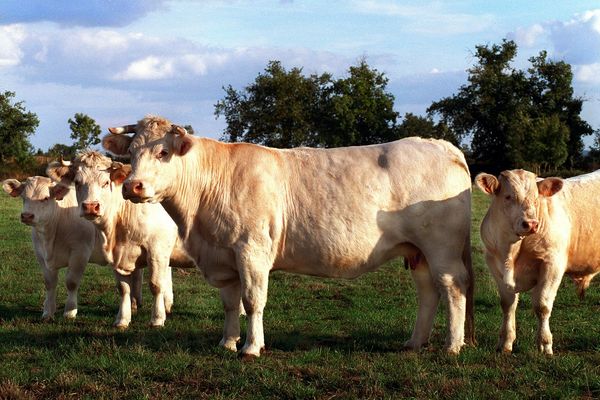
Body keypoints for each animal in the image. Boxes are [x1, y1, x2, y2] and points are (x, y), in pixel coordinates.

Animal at [2, 177, 110, 320]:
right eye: (23, 197)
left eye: (45, 198)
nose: (26, 216)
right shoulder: (40, 254)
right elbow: (49, 283)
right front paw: (48, 312)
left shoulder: (80, 252)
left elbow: (71, 282)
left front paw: (70, 312)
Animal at [49, 150, 195, 328]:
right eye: (77, 182)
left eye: (106, 182)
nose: (90, 206)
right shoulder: (117, 255)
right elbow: (123, 288)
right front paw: (122, 319)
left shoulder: (157, 250)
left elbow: (155, 285)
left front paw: (157, 319)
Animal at [103, 114, 476, 358]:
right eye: (131, 153)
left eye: (163, 152)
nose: (132, 186)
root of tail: (440, 145)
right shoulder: (223, 256)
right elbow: (230, 303)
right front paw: (227, 342)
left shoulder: (252, 250)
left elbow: (252, 301)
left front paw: (251, 347)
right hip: (417, 251)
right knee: (428, 292)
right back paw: (414, 343)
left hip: (441, 247)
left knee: (452, 287)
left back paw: (452, 345)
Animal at [476, 168, 596, 354]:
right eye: (508, 196)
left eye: (536, 198)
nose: (531, 224)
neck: (510, 254)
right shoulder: (493, 264)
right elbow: (507, 305)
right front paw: (505, 342)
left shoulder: (552, 264)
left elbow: (542, 306)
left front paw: (545, 344)